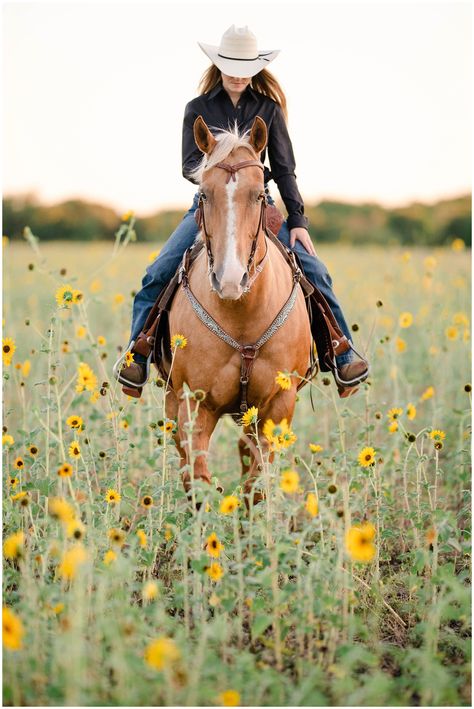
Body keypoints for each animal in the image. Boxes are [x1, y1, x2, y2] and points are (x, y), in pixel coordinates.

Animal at [163, 116, 312, 500]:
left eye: (259, 195)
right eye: (204, 194)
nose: (230, 280)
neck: (241, 315)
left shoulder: (277, 406)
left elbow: (256, 486)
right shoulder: (193, 403)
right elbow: (198, 481)